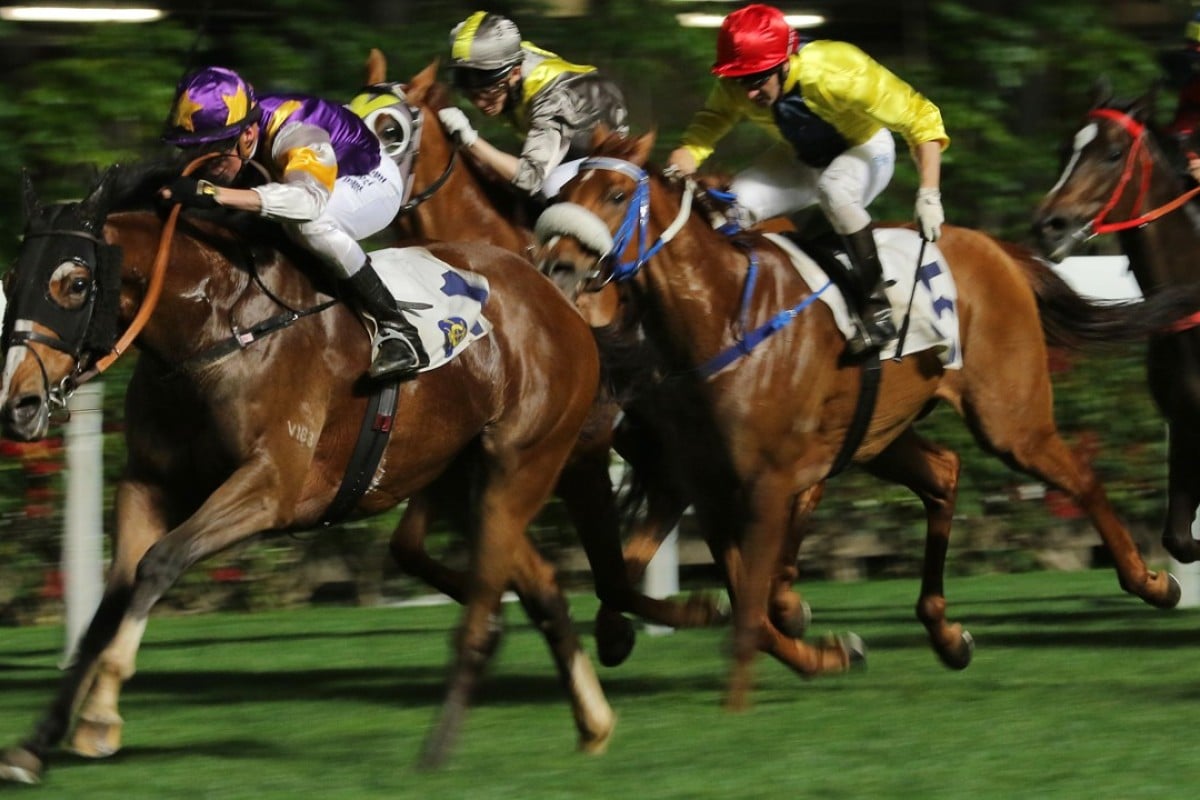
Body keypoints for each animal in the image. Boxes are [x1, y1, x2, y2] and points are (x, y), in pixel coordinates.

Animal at [0, 163, 614, 782]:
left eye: (75, 284)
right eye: (12, 278)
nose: (19, 404)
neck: (217, 327)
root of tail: (554, 296)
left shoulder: (271, 485)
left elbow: (159, 563)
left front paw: (99, 717)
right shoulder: (147, 483)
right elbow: (110, 604)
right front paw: (36, 744)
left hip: (519, 465)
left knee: (486, 609)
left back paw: (437, 749)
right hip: (466, 479)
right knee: (539, 587)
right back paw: (594, 723)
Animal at [532, 133, 1180, 714]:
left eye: (616, 194)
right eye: (563, 192)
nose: (557, 266)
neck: (720, 315)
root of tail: (996, 250)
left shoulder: (764, 482)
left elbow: (748, 605)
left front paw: (742, 695)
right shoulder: (708, 484)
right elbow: (729, 598)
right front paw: (818, 648)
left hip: (1009, 419)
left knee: (1080, 479)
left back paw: (1151, 581)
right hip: (879, 434)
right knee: (944, 473)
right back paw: (945, 633)